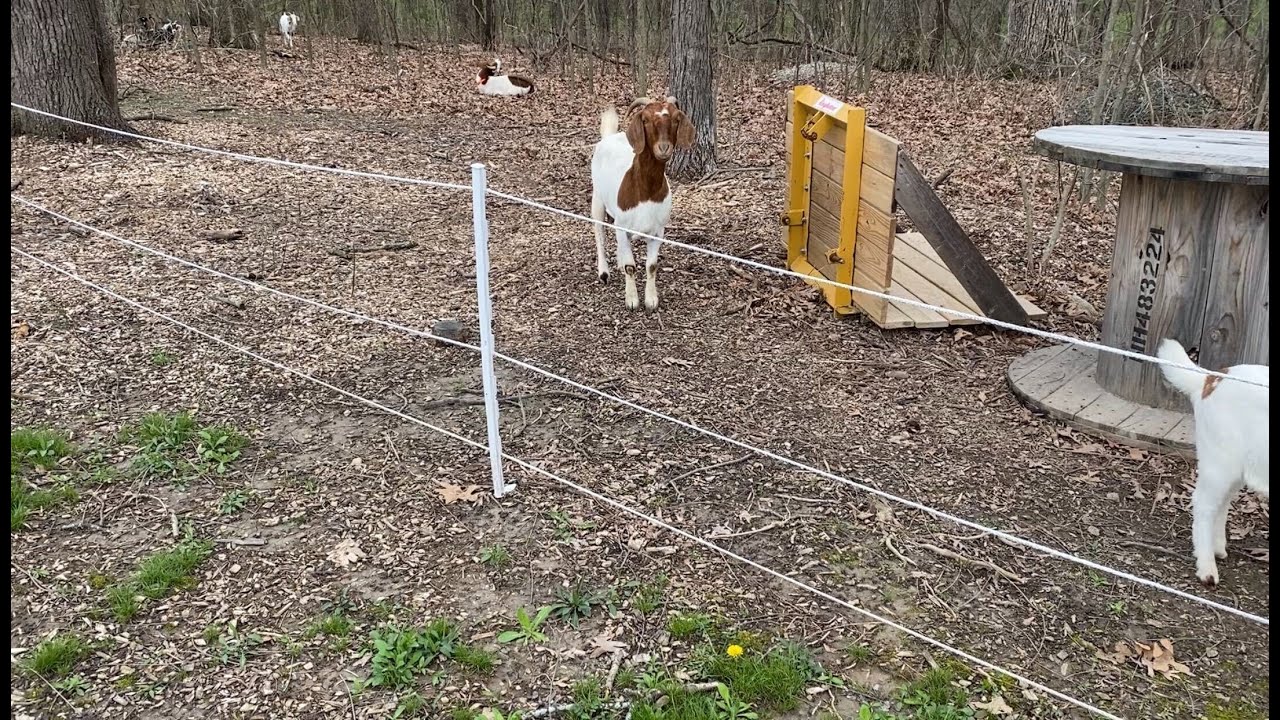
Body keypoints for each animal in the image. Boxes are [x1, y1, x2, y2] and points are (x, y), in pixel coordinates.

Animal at [590, 96, 695, 311]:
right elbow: (631, 266)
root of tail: (609, 137)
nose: (663, 148)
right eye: (645, 119)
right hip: (597, 198)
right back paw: (604, 272)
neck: (646, 192)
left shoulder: (657, 231)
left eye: (676, 119)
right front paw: (631, 300)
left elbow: (652, 265)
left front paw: (651, 300)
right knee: (600, 233)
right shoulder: (622, 225)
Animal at [1156, 338, 1269, 586]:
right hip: (1219, 460)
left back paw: (1218, 548)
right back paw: (1207, 568)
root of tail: (1210, 379)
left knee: (1222, 501)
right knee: (1204, 503)